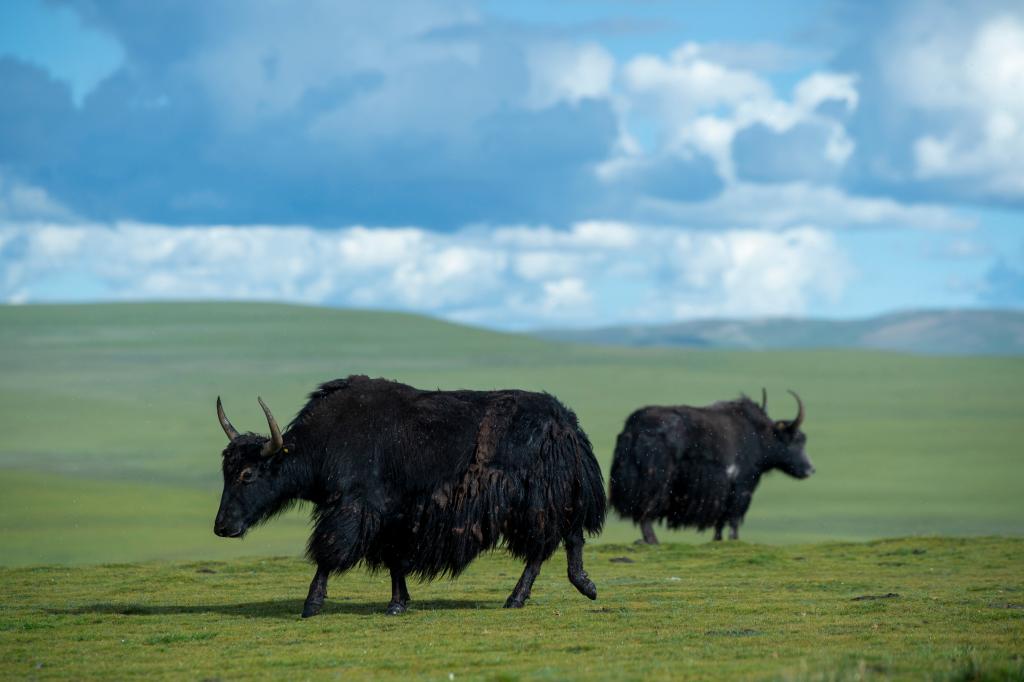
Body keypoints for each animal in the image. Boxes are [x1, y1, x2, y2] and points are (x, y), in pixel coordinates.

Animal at [213, 375, 606, 617]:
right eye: (226, 472)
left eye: (247, 474)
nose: (221, 528)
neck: (323, 442)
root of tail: (566, 422)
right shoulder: (395, 515)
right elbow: (394, 560)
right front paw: (398, 603)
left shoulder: (356, 507)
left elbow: (329, 551)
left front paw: (311, 604)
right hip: (553, 497)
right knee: (567, 536)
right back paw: (583, 586)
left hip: (535, 500)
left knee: (544, 546)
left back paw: (520, 597)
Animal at [608, 389, 814, 544]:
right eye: (796, 439)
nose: (811, 470)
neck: (760, 436)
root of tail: (633, 428)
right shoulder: (742, 485)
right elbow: (733, 518)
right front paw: (734, 541)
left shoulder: (723, 491)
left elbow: (721, 520)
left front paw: (718, 540)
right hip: (656, 481)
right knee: (646, 511)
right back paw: (653, 541)